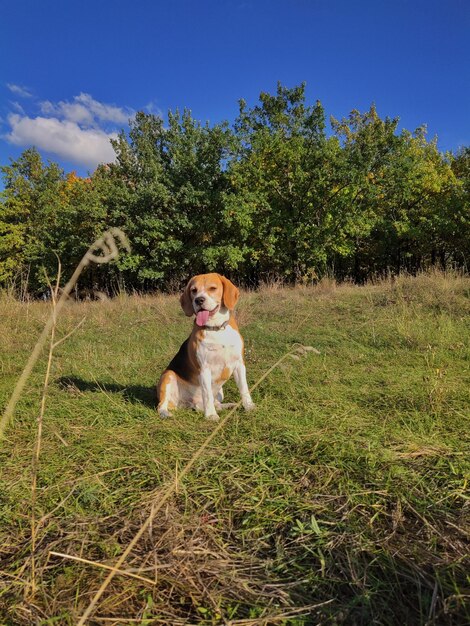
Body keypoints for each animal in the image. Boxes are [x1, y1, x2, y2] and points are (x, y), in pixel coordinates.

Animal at [157, 272, 253, 420]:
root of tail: (188, 403)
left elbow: (244, 388)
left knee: (209, 404)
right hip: (168, 375)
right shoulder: (204, 368)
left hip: (220, 392)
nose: (198, 300)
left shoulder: (239, 364)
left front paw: (249, 406)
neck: (216, 328)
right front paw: (211, 416)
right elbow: (207, 394)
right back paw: (165, 413)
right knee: (162, 405)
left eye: (212, 288)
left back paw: (228, 406)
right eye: (193, 290)